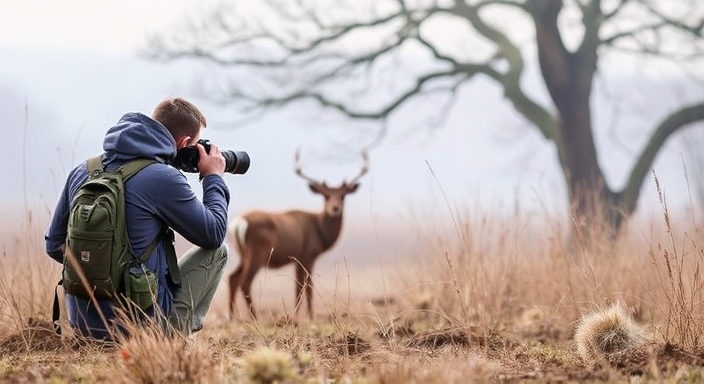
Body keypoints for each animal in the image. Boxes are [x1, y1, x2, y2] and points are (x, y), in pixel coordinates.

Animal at [227, 150, 372, 320]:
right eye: (325, 196)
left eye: (343, 195)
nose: (335, 208)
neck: (319, 229)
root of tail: (238, 222)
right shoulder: (308, 255)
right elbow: (307, 286)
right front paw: (309, 316)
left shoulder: (298, 259)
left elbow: (298, 286)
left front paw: (298, 315)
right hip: (258, 252)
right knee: (245, 281)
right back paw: (255, 317)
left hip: (244, 254)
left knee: (233, 278)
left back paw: (232, 317)